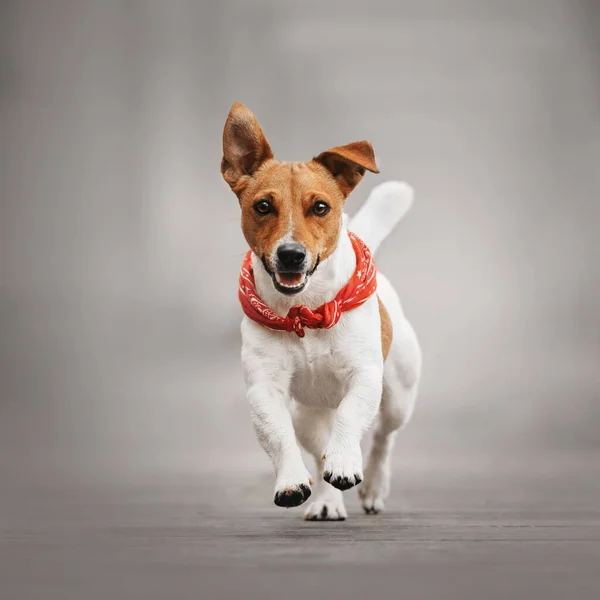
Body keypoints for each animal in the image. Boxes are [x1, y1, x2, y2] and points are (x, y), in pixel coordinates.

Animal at [221, 103, 422, 520]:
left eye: (320, 208)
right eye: (263, 206)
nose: (290, 255)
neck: (306, 311)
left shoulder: (364, 377)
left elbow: (351, 417)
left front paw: (348, 463)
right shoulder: (264, 388)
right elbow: (278, 434)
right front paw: (292, 483)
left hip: (397, 396)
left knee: (382, 439)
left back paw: (372, 485)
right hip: (308, 418)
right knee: (320, 450)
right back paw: (328, 501)